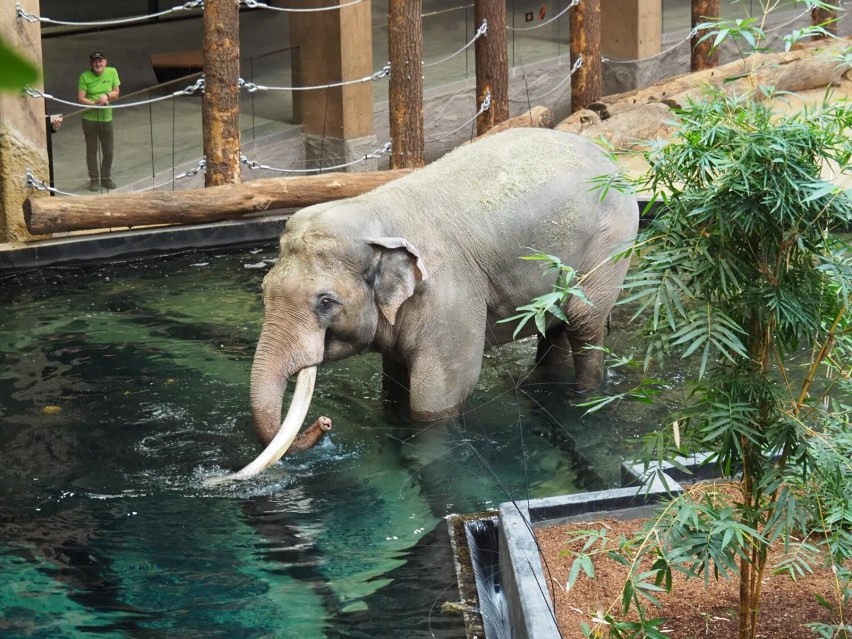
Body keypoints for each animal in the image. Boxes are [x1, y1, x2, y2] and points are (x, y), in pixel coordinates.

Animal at [213, 126, 640, 484]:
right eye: (264, 290)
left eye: (325, 302)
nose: (325, 422)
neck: (375, 213)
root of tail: (608, 157)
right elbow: (394, 379)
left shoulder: (450, 295)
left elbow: (436, 394)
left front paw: (424, 458)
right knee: (553, 325)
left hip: (610, 244)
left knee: (583, 323)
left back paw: (581, 399)